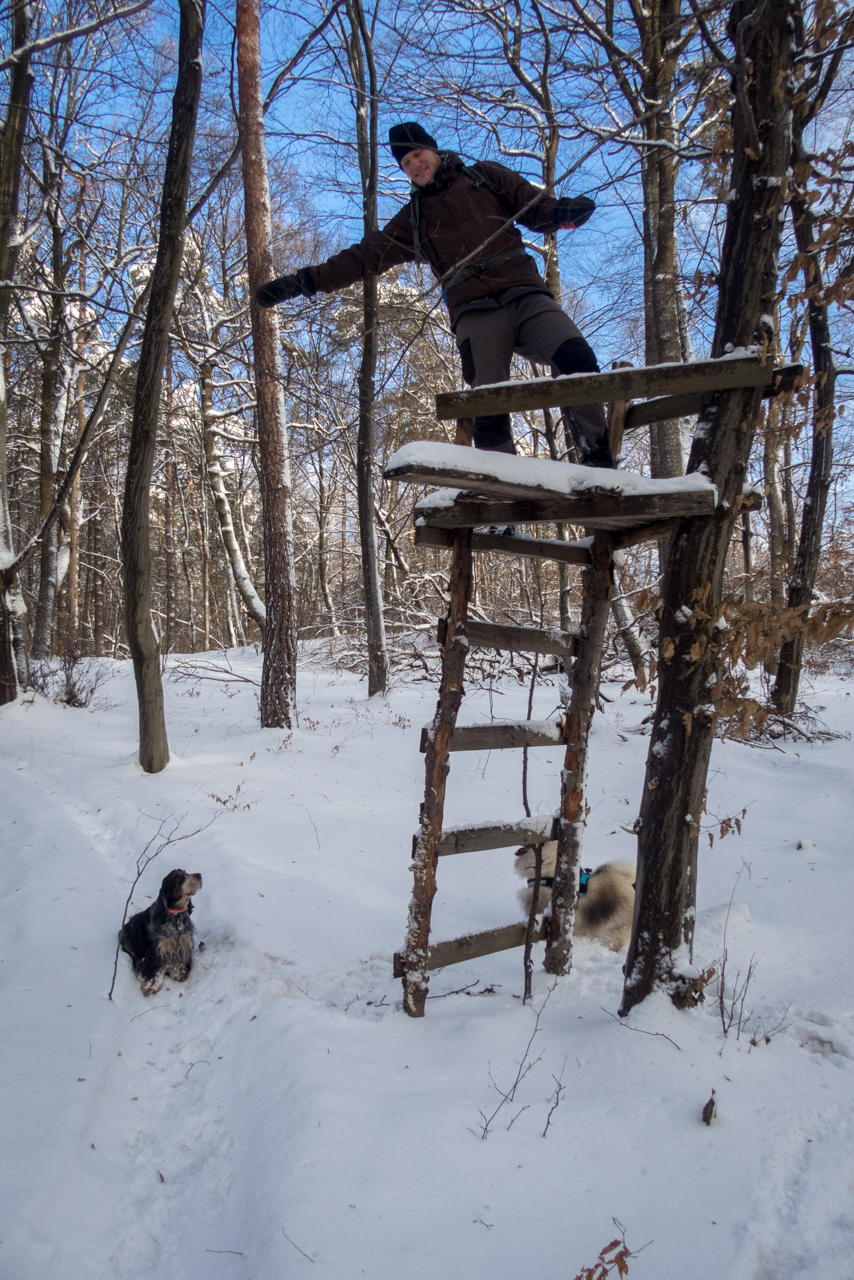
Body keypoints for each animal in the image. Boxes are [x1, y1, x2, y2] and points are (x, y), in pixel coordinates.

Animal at [120, 870, 203, 998]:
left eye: (186, 872)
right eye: (177, 877)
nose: (199, 875)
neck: (176, 916)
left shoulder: (183, 944)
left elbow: (179, 964)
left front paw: (179, 975)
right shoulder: (157, 951)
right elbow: (155, 972)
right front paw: (151, 988)